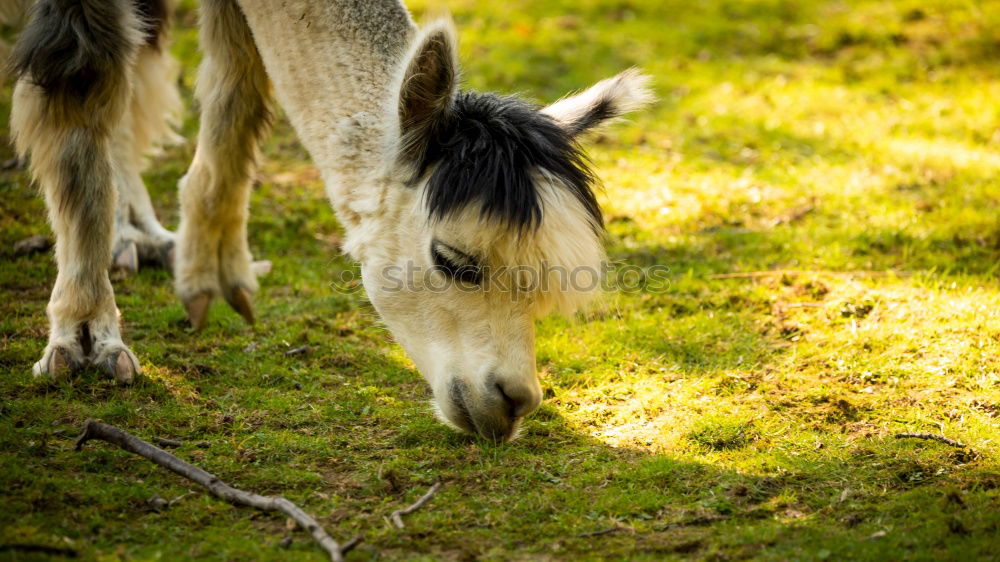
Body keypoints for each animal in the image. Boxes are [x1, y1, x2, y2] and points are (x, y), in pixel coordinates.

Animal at [11, 0, 652, 438]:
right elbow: (81, 93)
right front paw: (85, 336)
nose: (517, 399)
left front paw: (213, 271)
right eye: (453, 260)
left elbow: (239, 91)